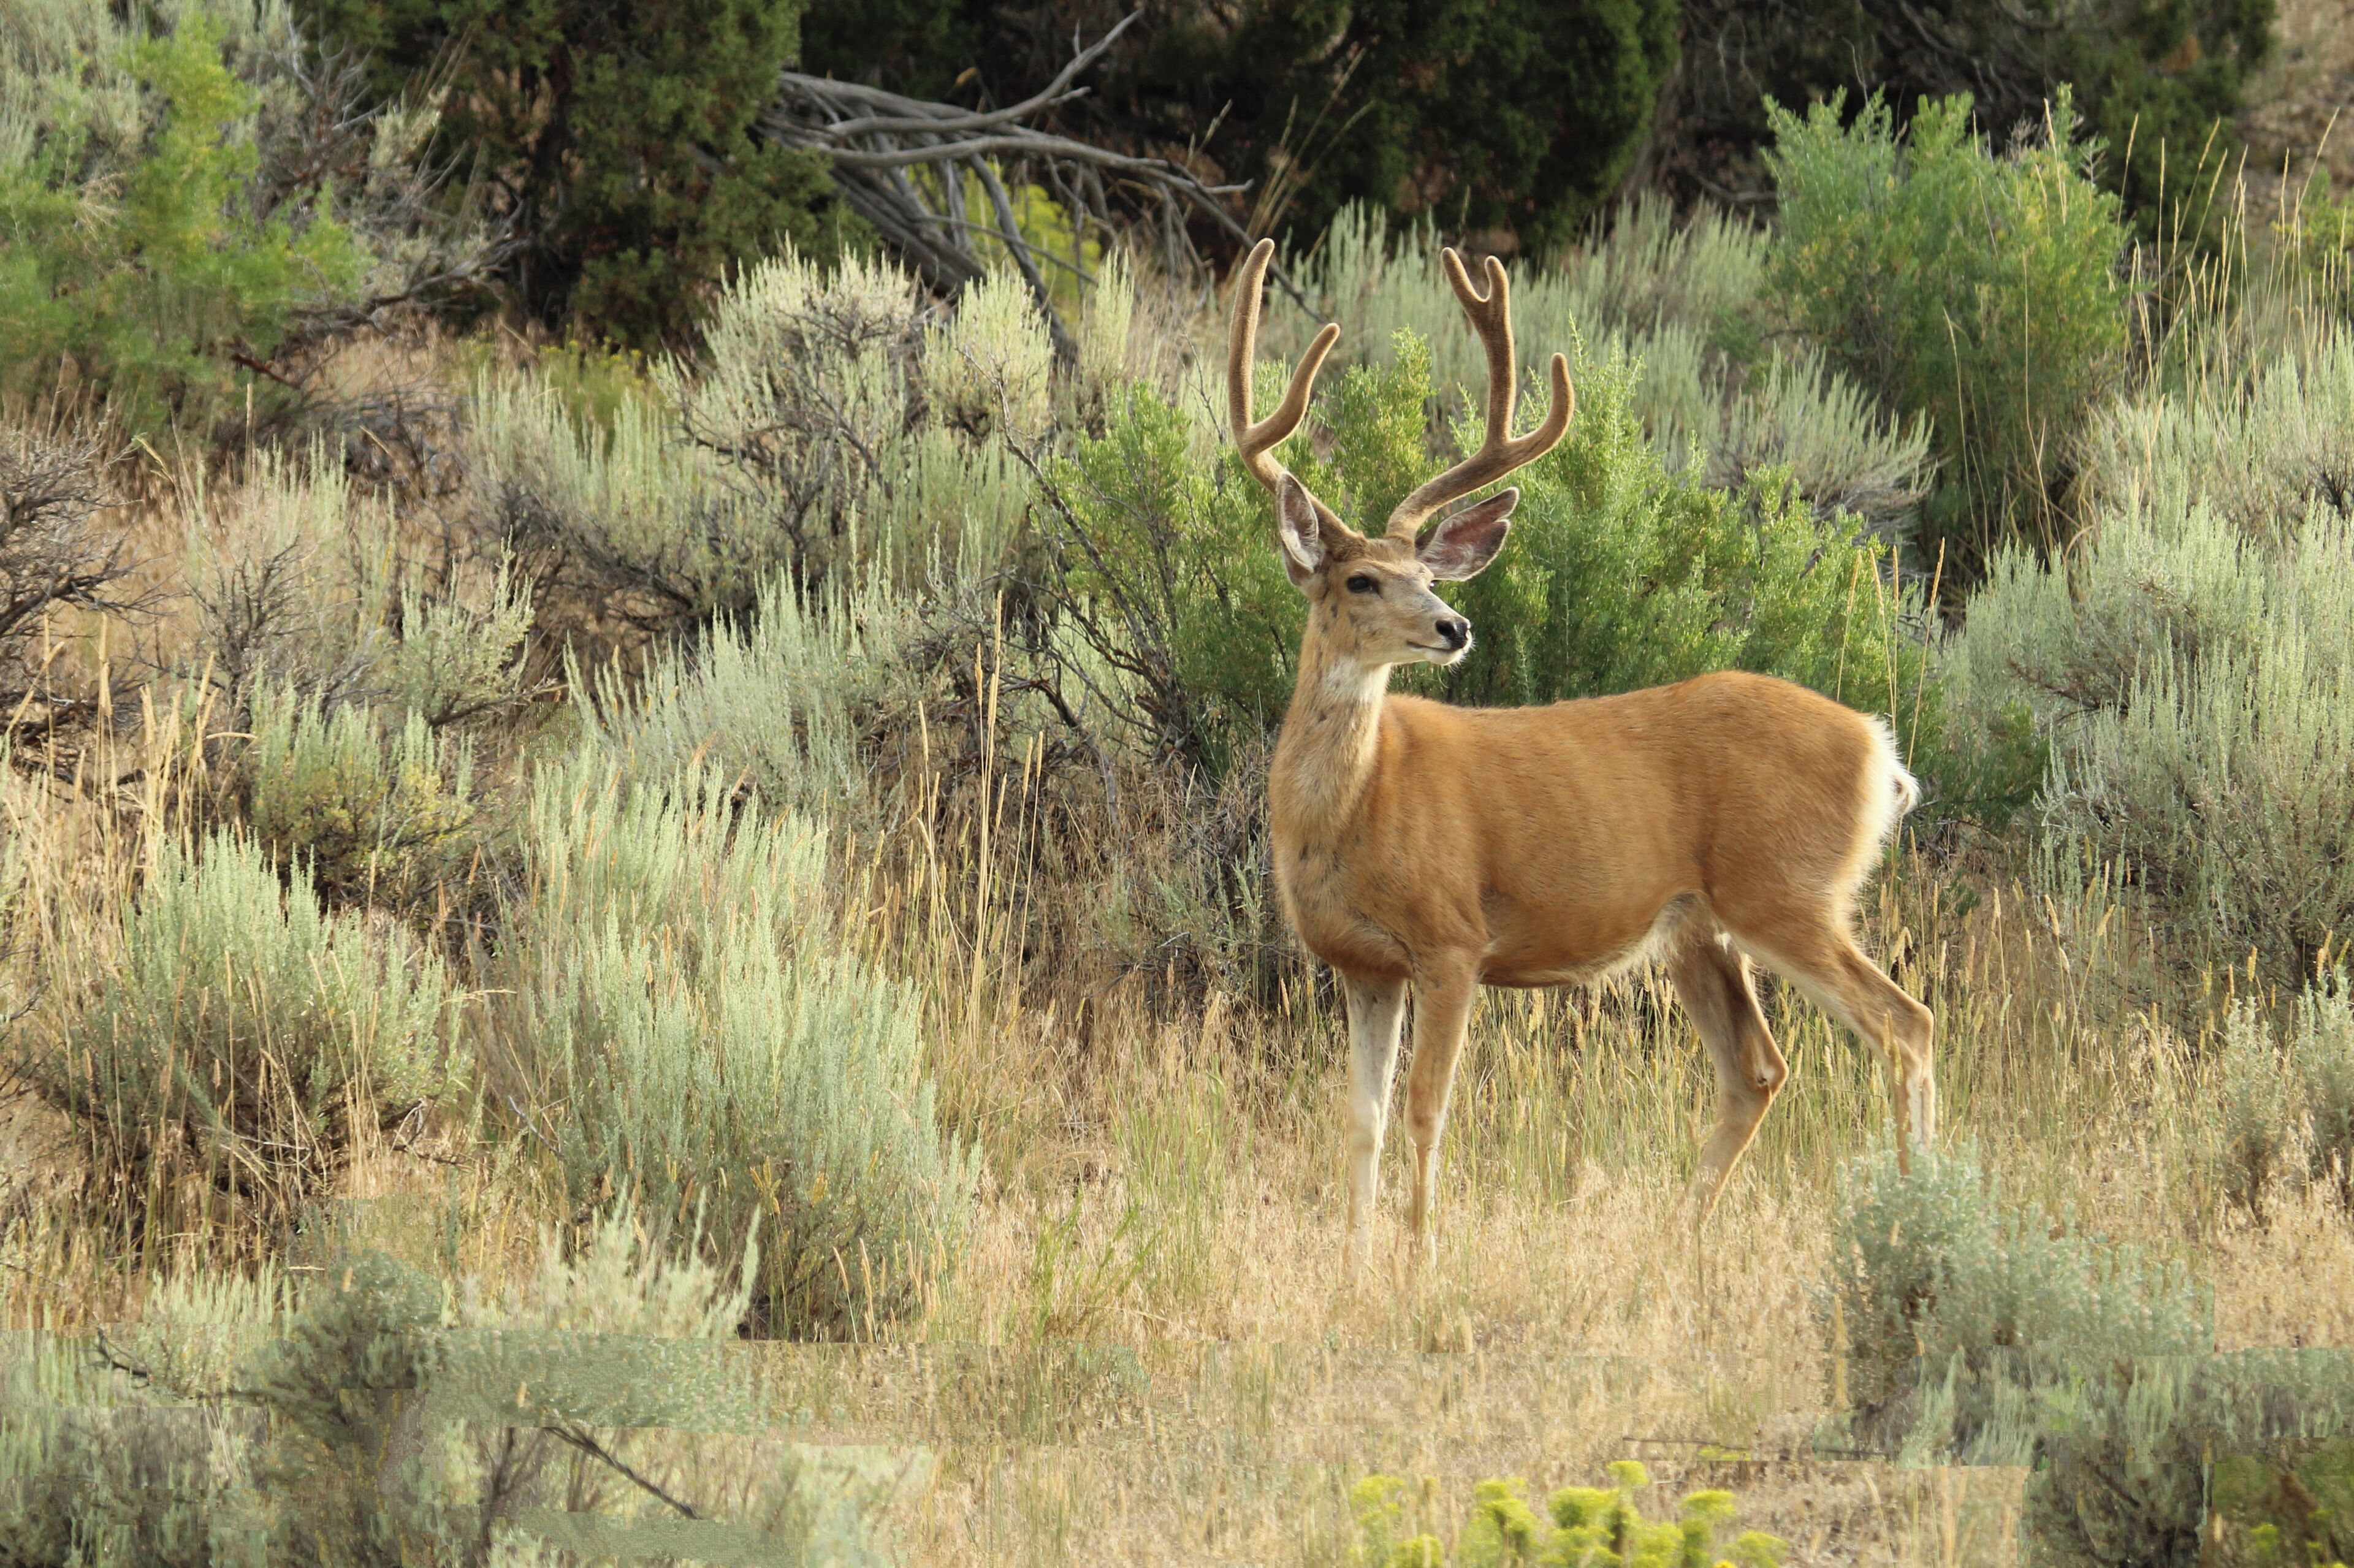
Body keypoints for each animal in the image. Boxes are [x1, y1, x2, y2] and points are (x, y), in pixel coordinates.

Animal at [1225, 238, 1935, 1270]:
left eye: (1426, 572)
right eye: (1361, 579)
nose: (1454, 625)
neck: (1351, 810)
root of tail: (1882, 754)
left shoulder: (1453, 939)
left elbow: (1427, 1111)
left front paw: (1419, 1259)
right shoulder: (1360, 962)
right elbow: (1360, 1119)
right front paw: (1354, 1264)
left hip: (1787, 890)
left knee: (1903, 1024)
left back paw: (1920, 1220)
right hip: (1699, 927)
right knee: (1760, 1068)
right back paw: (1678, 1241)